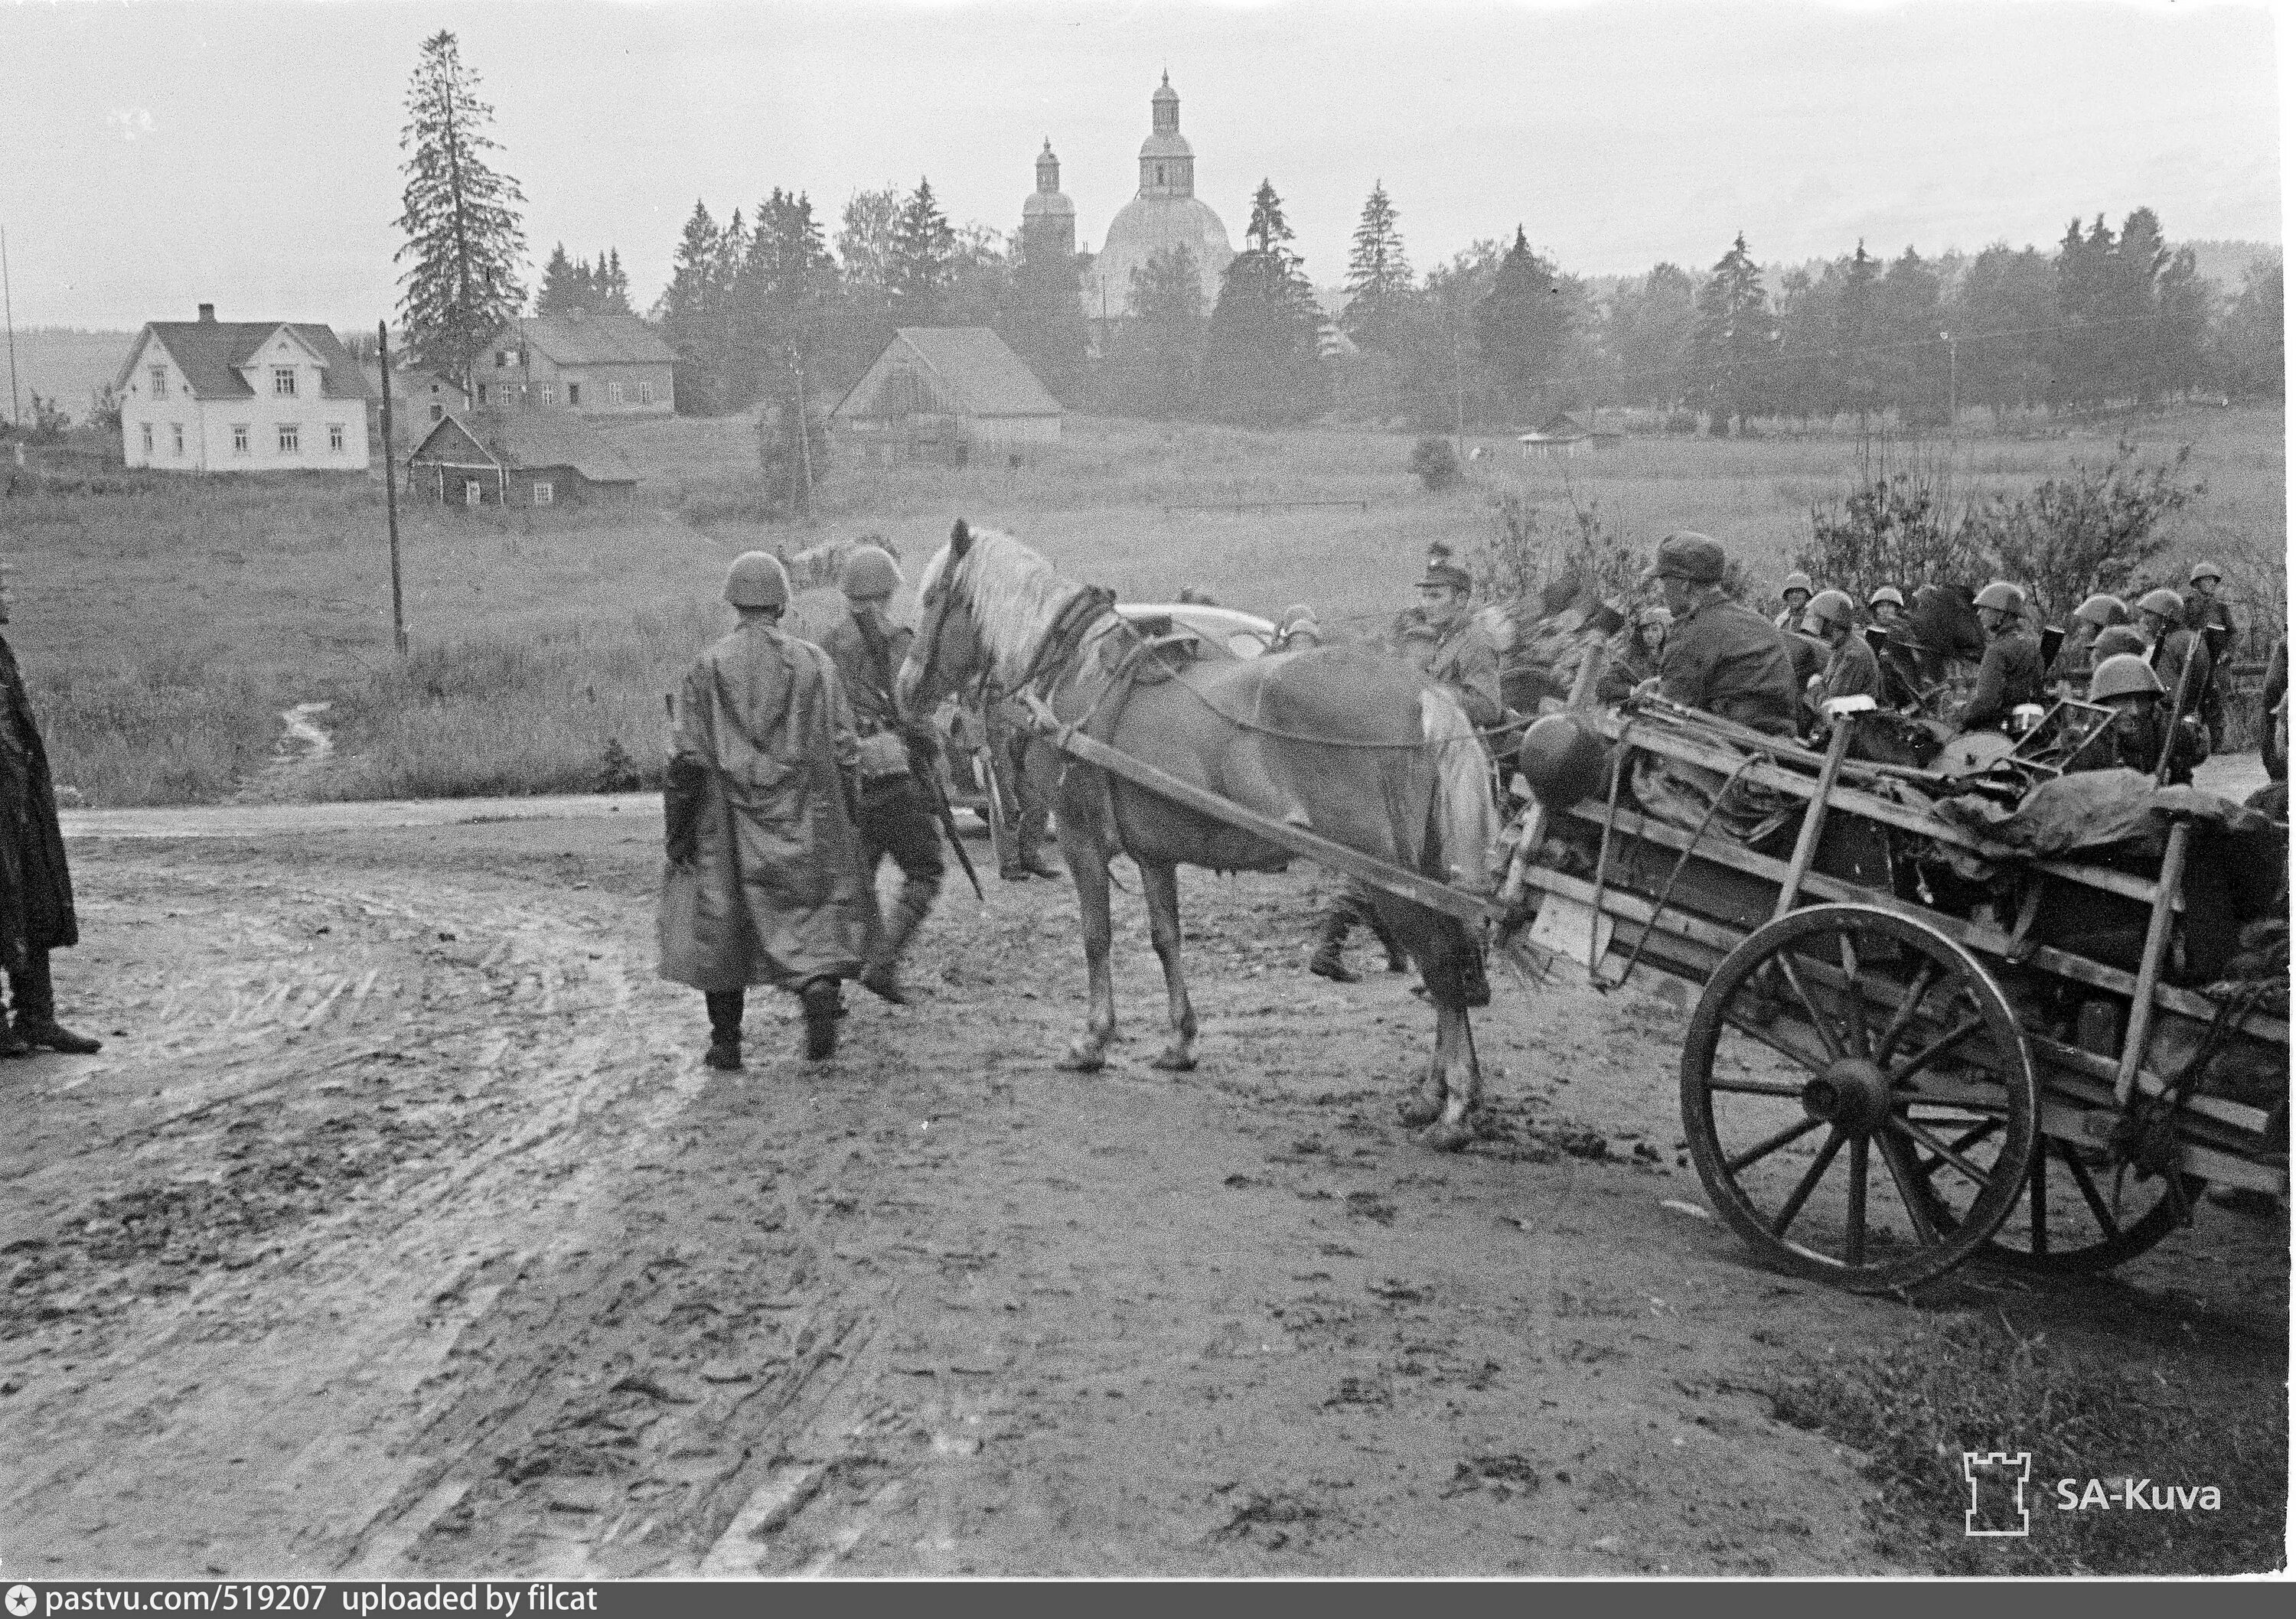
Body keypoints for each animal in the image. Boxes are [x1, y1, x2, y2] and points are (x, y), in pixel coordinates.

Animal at [895, 521, 1506, 1148]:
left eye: (932, 598)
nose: (907, 691)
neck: (1074, 669)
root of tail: (1426, 694)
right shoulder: (1153, 852)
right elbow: (1167, 938)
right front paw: (1180, 1041)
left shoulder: (1080, 839)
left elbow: (1096, 937)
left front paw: (1092, 1040)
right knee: (1447, 962)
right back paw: (1433, 1096)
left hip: (1388, 874)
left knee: (1440, 961)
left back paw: (1455, 1107)